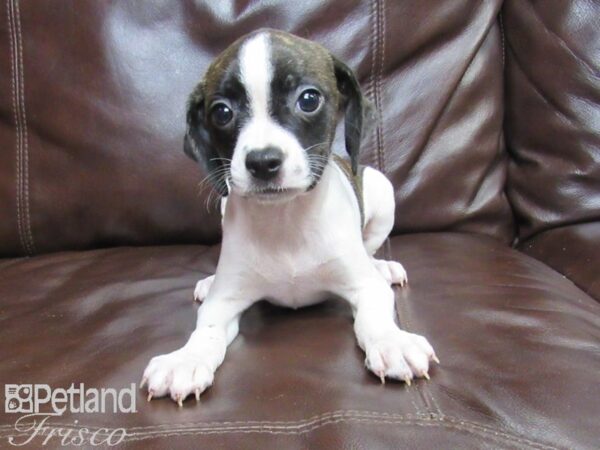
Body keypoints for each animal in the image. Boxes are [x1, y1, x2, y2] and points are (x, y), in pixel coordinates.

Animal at [143, 29, 438, 408]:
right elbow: (205, 331)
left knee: (370, 248)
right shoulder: (224, 302)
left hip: (382, 190)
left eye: (309, 99)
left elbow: (374, 317)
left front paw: (392, 342)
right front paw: (186, 359)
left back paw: (382, 266)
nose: (262, 162)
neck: (285, 220)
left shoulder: (365, 288)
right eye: (221, 112)